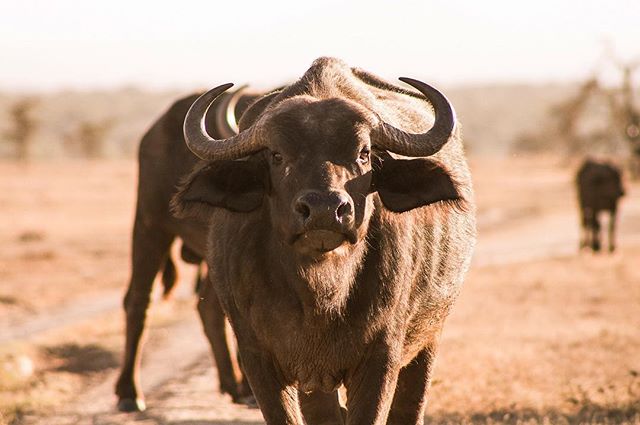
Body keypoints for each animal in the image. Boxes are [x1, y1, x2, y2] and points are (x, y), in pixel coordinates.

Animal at [172, 57, 478, 424]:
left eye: (364, 153)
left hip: (428, 339)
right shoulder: (258, 357)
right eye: (276, 155)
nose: (324, 210)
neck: (321, 291)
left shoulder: (382, 355)